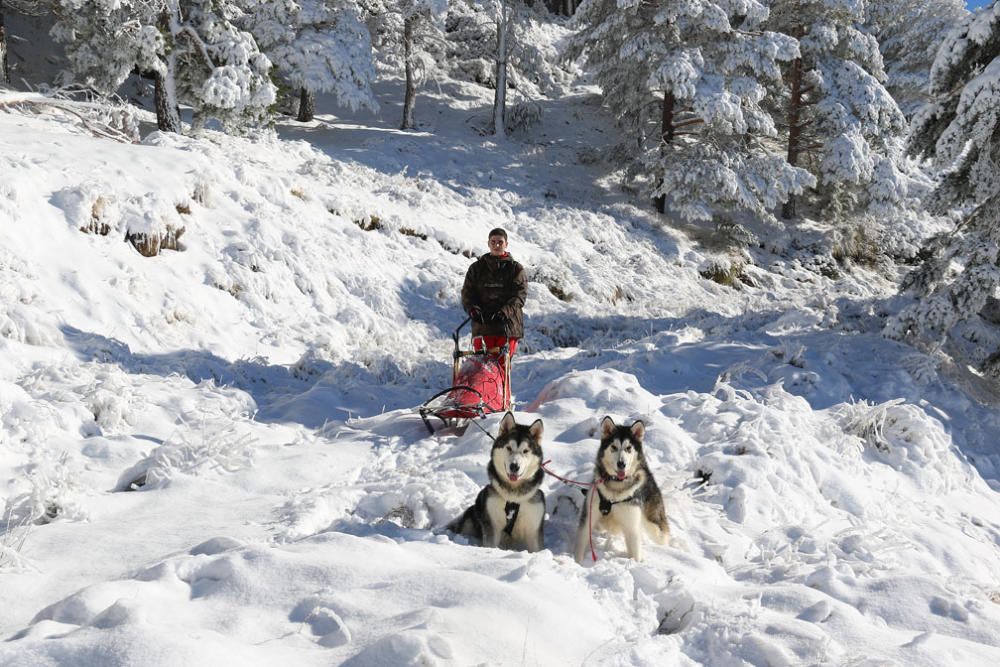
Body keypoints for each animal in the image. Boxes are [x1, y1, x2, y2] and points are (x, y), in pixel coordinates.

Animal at [450, 412, 548, 552]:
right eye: (509, 448)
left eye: (525, 451)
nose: (514, 466)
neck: (513, 495)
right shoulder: (492, 523)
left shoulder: (533, 526)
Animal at [576, 418, 668, 564]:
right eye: (614, 447)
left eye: (628, 448)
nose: (621, 464)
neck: (616, 487)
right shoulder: (589, 517)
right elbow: (581, 541)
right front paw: (576, 562)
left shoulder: (631, 525)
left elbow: (635, 552)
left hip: (654, 525)